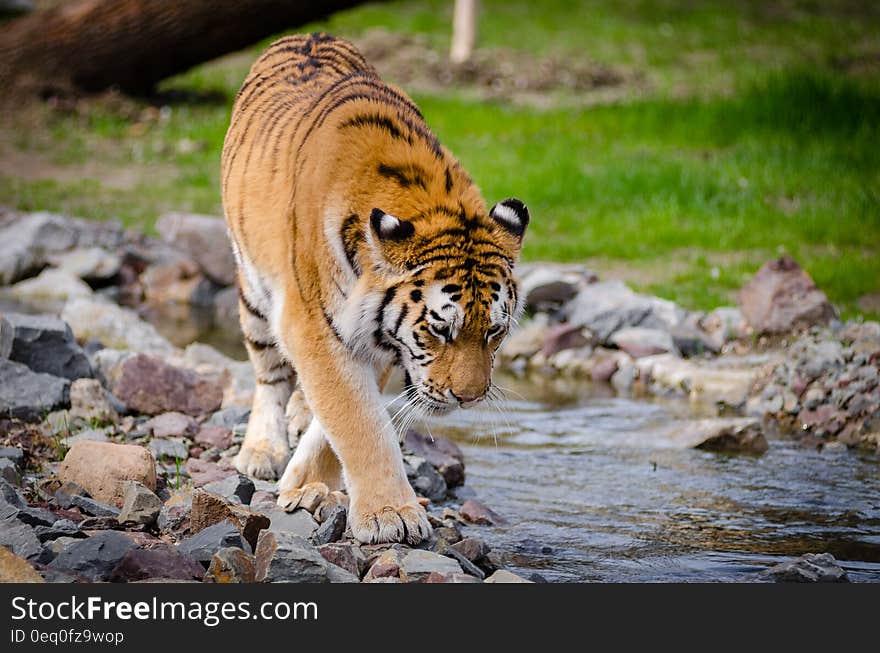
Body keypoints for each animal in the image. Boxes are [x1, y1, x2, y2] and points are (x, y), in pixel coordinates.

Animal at [220, 34, 528, 544]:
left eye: (494, 332)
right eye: (439, 330)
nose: (468, 398)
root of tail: (307, 36)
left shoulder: (378, 337)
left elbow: (341, 418)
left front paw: (308, 484)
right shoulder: (312, 323)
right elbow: (359, 419)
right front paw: (390, 515)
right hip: (254, 291)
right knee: (268, 375)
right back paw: (262, 450)